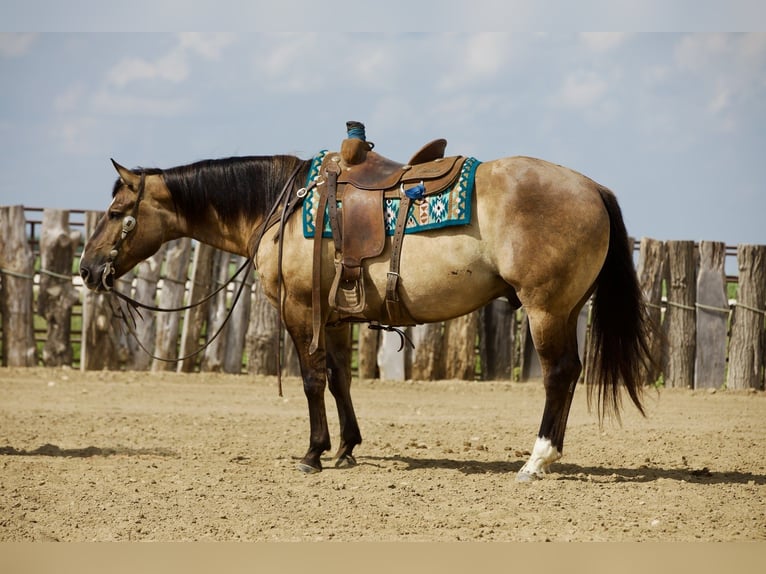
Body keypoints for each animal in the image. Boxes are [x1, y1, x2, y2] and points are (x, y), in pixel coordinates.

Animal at [79, 146, 653, 482]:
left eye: (116, 213)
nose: (86, 268)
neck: (281, 206)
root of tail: (592, 187)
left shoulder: (299, 310)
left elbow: (311, 379)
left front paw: (313, 453)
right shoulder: (333, 318)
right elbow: (339, 379)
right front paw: (347, 448)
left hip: (545, 308)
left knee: (558, 374)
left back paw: (536, 460)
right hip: (566, 309)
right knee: (570, 374)